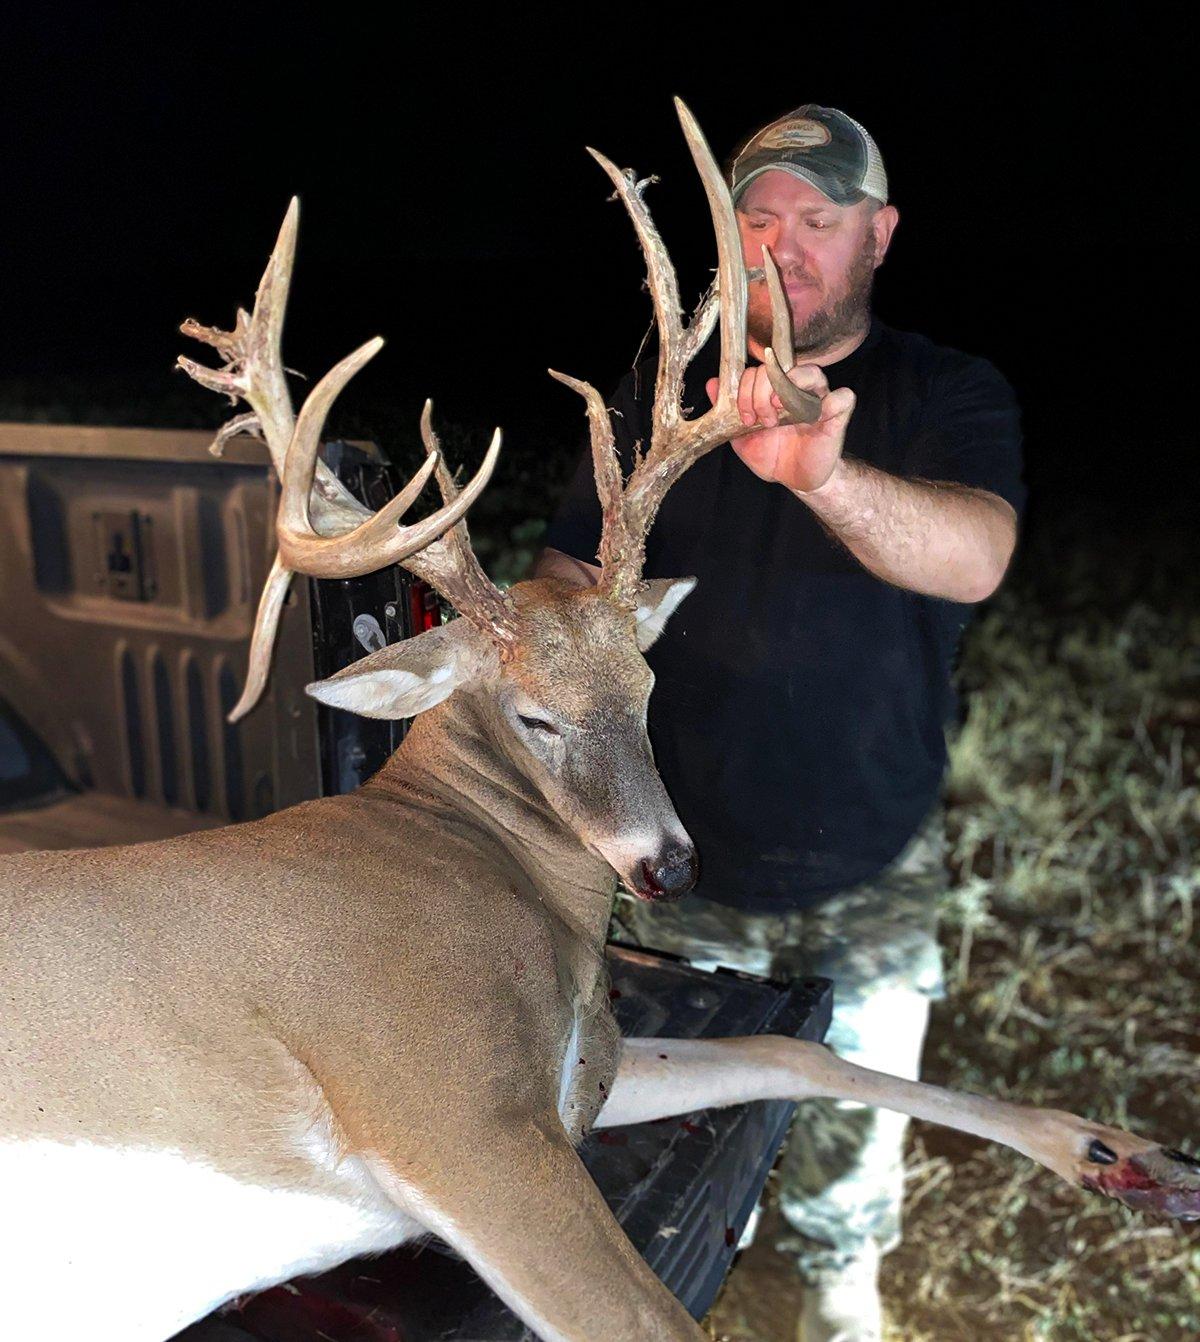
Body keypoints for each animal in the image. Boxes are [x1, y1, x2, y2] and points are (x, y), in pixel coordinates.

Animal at [1, 98, 1196, 1342]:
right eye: (534, 718)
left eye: (649, 684)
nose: (669, 866)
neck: (479, 857)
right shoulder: (452, 1110)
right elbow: (657, 1312)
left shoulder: (582, 1069)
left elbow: (787, 1044)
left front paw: (1124, 1152)